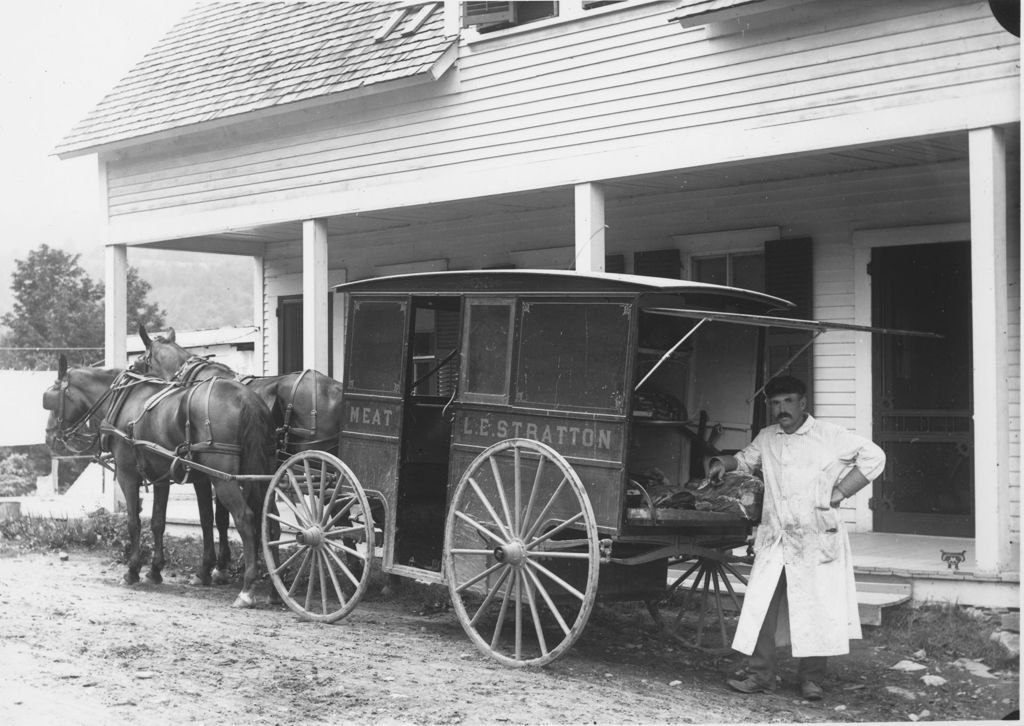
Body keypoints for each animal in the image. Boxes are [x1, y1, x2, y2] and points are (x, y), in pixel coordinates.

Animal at [43, 356, 276, 606]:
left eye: (50, 400)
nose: (49, 438)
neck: (125, 399)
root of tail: (246, 398)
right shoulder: (163, 479)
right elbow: (160, 522)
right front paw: (156, 570)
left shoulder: (127, 474)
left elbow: (134, 522)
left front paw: (132, 570)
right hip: (261, 473)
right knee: (270, 520)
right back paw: (275, 588)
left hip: (223, 479)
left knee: (246, 519)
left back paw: (247, 589)